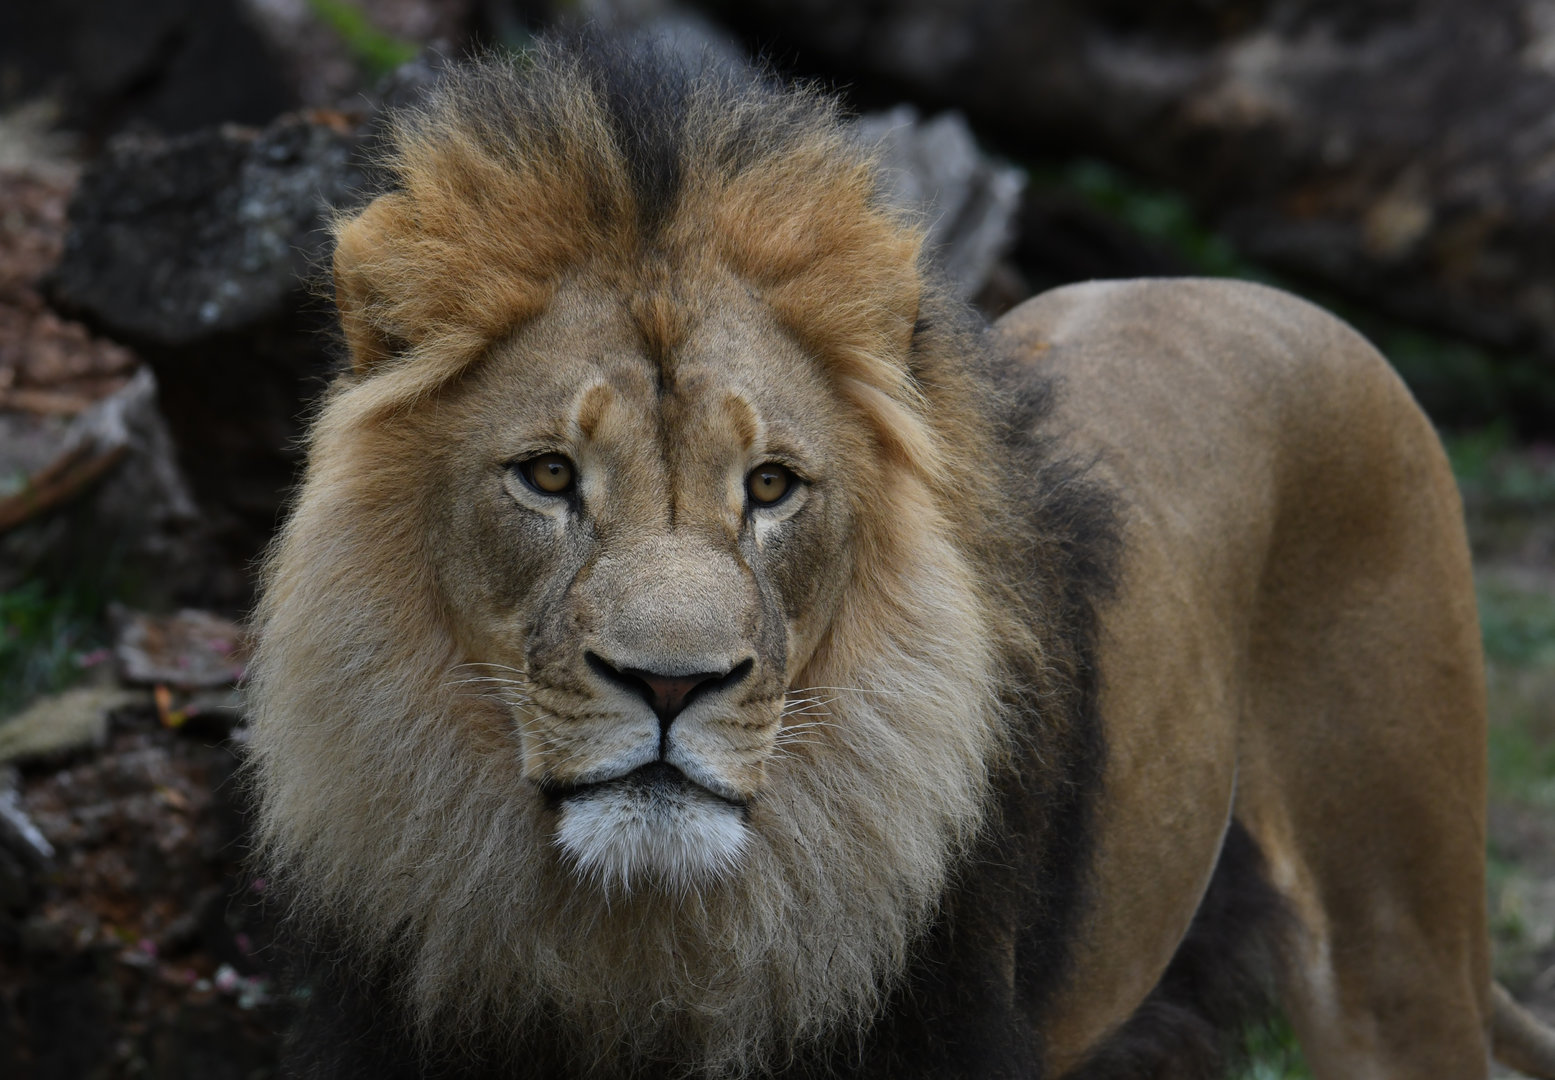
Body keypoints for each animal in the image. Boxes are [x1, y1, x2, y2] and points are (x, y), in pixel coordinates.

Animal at [245, 37, 1555, 1079]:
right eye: (550, 478)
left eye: (771, 486)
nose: (670, 685)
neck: (646, 946)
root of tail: (1261, 296)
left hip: (1395, 944)